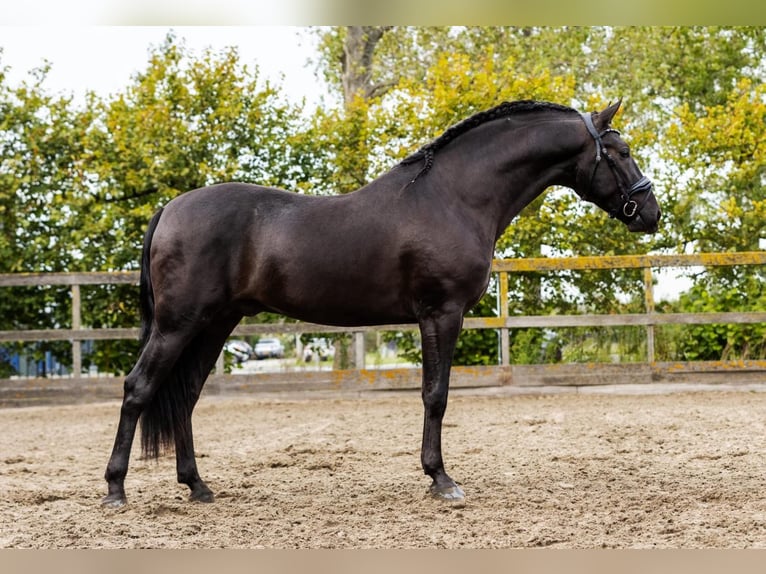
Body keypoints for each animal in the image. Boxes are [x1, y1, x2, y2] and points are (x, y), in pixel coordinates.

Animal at [105, 99, 664, 508]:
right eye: (622, 150)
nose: (650, 212)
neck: (453, 197)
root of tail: (171, 208)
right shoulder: (442, 313)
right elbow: (436, 396)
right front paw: (441, 480)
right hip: (178, 324)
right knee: (138, 388)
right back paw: (116, 490)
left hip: (214, 324)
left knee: (185, 395)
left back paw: (197, 486)